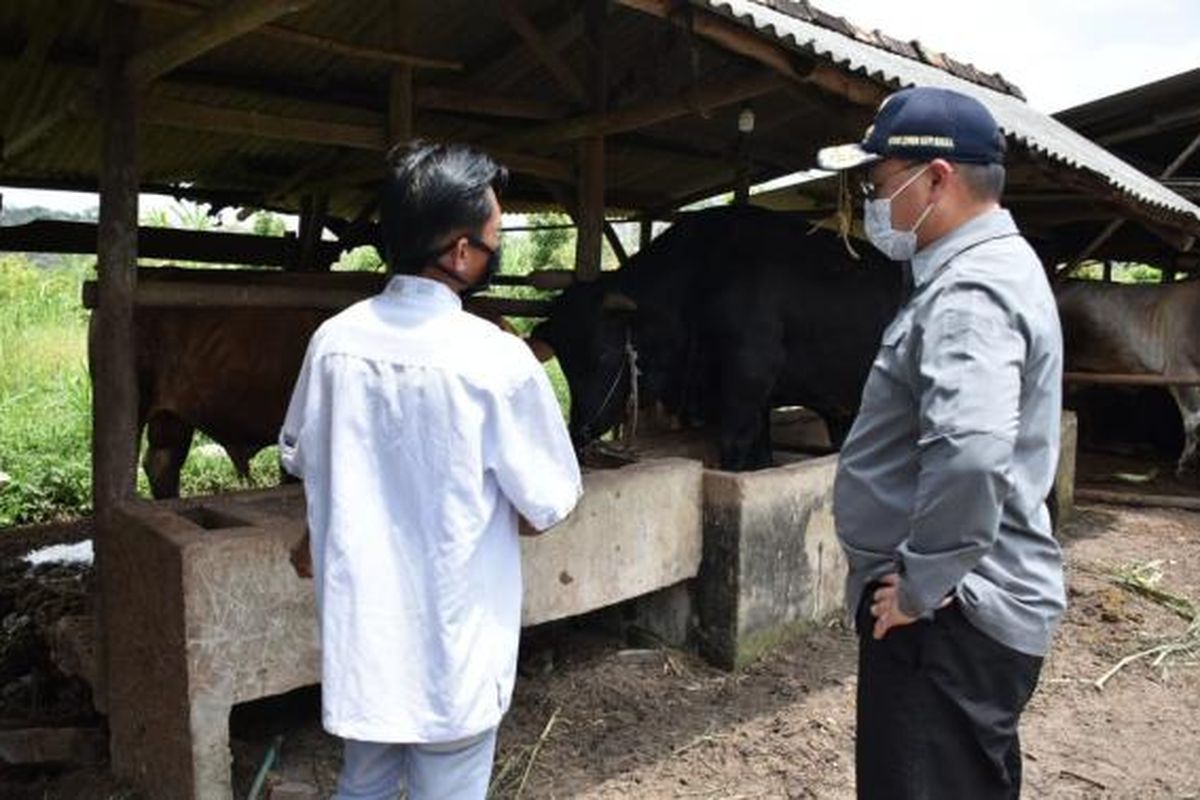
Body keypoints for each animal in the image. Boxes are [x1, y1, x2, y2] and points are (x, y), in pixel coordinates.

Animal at [525, 203, 902, 472]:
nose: (578, 431)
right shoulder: (758, 399)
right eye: (564, 362)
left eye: (603, 353)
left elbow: (734, 451)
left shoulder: (747, 380)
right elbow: (760, 456)